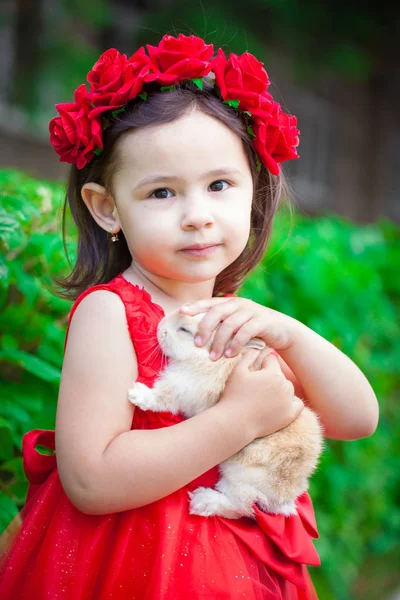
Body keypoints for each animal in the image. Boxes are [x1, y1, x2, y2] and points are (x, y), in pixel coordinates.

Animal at [129, 312, 324, 516]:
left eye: (184, 330)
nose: (160, 327)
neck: (212, 359)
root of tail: (286, 494)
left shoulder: (184, 387)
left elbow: (161, 396)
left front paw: (137, 394)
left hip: (240, 473)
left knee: (242, 507)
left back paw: (203, 501)